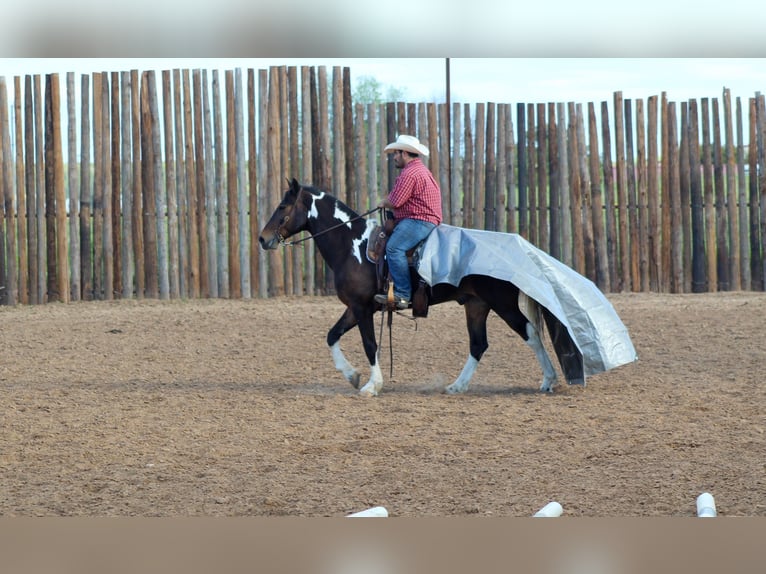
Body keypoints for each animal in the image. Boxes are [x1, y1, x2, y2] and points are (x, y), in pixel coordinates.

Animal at [260, 179, 584, 396]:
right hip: (476, 306)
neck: (353, 244)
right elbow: (331, 335)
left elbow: (370, 344)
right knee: (478, 345)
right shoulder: (356, 307)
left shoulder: (362, 308)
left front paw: (371, 385)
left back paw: (548, 380)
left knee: (530, 334)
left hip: (502, 304)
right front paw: (352, 375)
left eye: (282, 206)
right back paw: (457, 386)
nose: (263, 239)